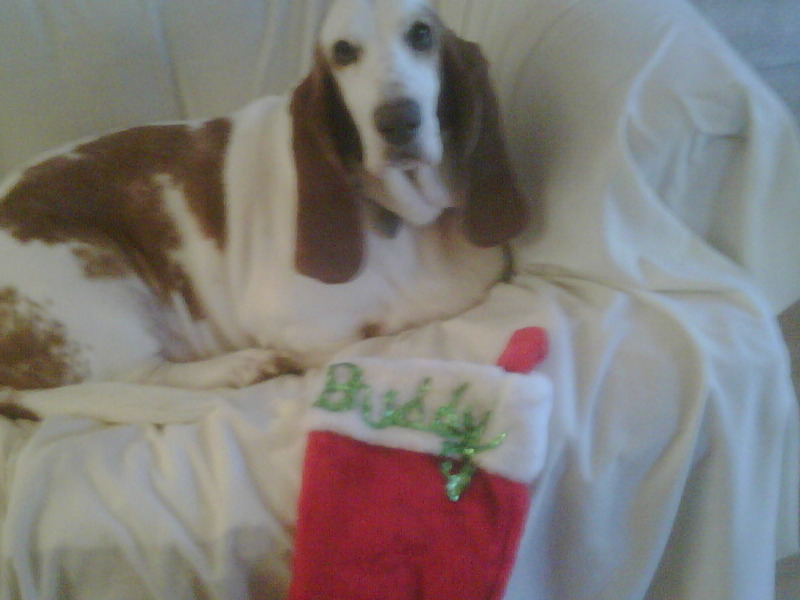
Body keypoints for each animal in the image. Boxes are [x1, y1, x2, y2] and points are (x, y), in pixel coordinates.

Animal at [0, 0, 524, 410]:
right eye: (343, 52)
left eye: (421, 35)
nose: (398, 120)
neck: (402, 218)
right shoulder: (307, 332)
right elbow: (358, 339)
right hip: (100, 284)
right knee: (144, 378)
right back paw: (242, 367)